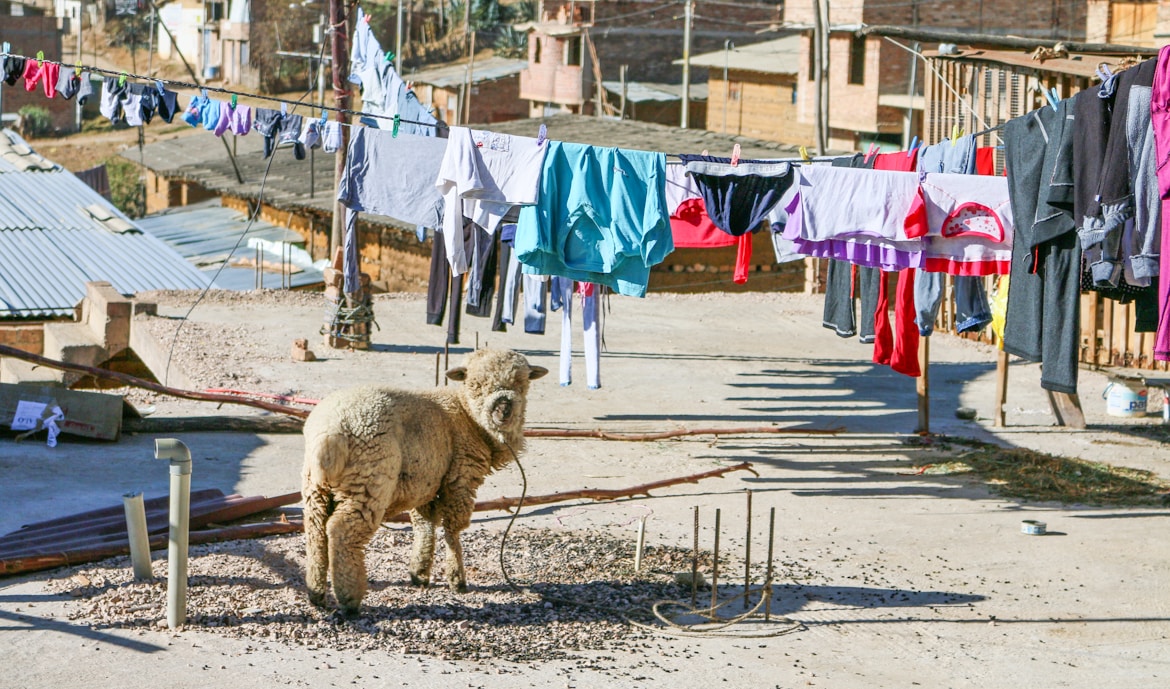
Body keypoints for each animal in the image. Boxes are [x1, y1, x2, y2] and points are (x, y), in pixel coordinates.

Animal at [297, 348, 542, 612]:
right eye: (477, 384)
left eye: (521, 382)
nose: (503, 409)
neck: (467, 414)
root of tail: (329, 432)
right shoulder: (461, 478)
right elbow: (452, 529)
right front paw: (457, 579)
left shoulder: (425, 482)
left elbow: (424, 525)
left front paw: (420, 573)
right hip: (370, 481)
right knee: (341, 530)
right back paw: (350, 598)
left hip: (315, 487)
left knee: (315, 531)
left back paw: (317, 594)